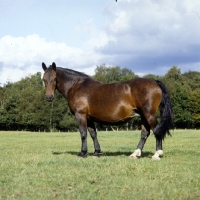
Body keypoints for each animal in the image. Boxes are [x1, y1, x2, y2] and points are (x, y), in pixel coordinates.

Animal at [42, 61, 173, 160]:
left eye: (55, 78)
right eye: (43, 79)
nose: (49, 97)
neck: (77, 86)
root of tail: (155, 81)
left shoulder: (81, 115)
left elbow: (83, 134)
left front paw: (83, 153)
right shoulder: (89, 118)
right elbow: (93, 134)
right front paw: (96, 152)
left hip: (149, 114)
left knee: (156, 131)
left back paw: (157, 154)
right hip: (143, 115)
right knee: (145, 133)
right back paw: (135, 154)